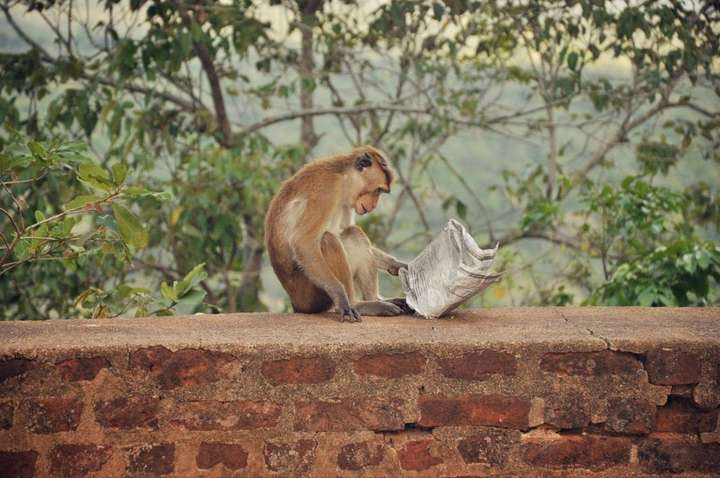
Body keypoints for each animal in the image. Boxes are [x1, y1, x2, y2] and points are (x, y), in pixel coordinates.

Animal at [262, 143, 410, 322]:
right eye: (378, 190)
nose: (373, 205)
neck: (343, 176)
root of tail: (296, 303)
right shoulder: (326, 189)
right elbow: (303, 241)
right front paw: (342, 298)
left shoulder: (347, 199)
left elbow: (345, 228)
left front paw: (397, 264)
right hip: (311, 294)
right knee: (328, 239)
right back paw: (356, 303)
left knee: (353, 233)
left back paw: (375, 299)